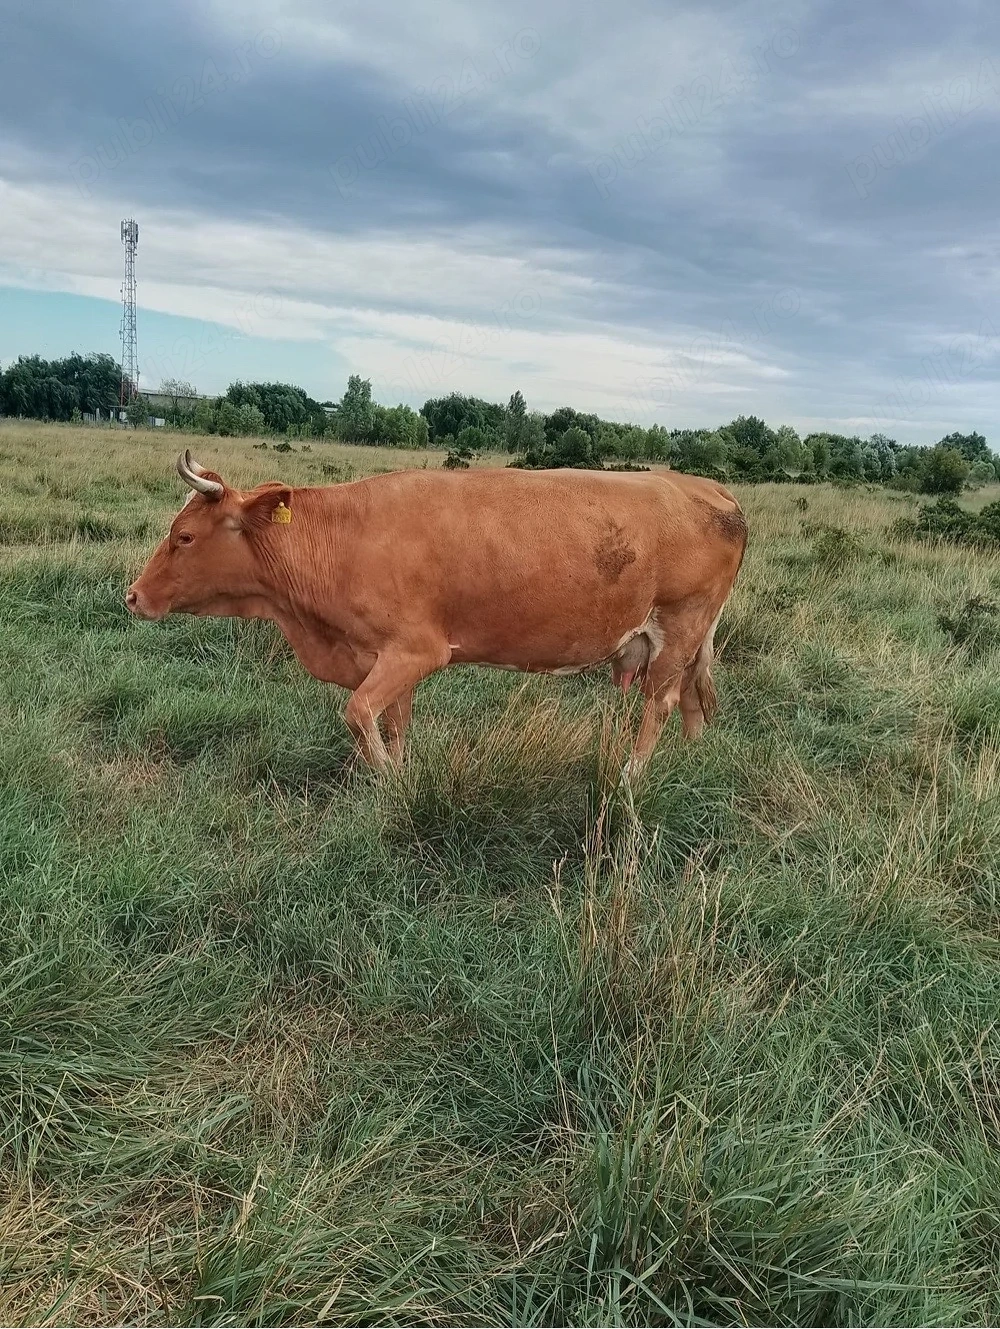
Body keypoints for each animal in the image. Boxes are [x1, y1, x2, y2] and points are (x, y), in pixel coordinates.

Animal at [126, 452, 747, 774]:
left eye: (184, 537)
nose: (133, 596)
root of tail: (706, 486)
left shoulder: (416, 650)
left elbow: (359, 713)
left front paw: (385, 779)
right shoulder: (385, 657)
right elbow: (395, 720)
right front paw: (401, 777)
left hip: (680, 625)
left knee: (661, 703)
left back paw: (631, 775)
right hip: (689, 639)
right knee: (691, 699)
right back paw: (691, 761)